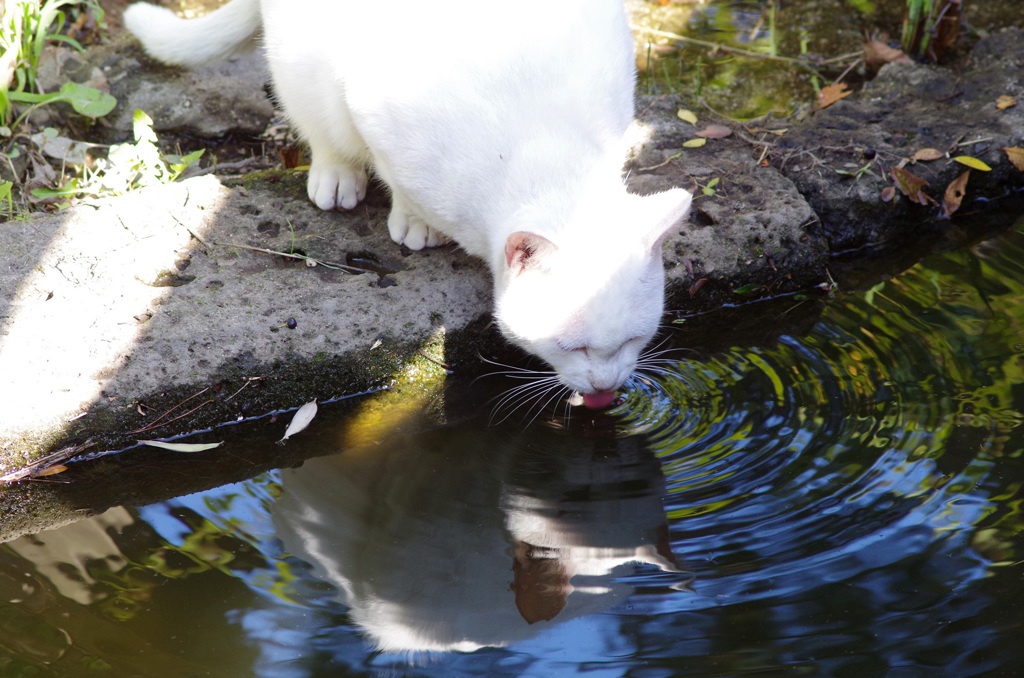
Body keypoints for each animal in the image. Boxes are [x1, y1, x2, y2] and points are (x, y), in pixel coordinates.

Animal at [123, 0, 692, 405]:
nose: (605, 386)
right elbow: (393, 171)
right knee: (319, 122)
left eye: (633, 341)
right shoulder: (375, 106)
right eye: (572, 347)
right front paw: (414, 219)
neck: (544, 147)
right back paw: (336, 174)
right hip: (303, 61)